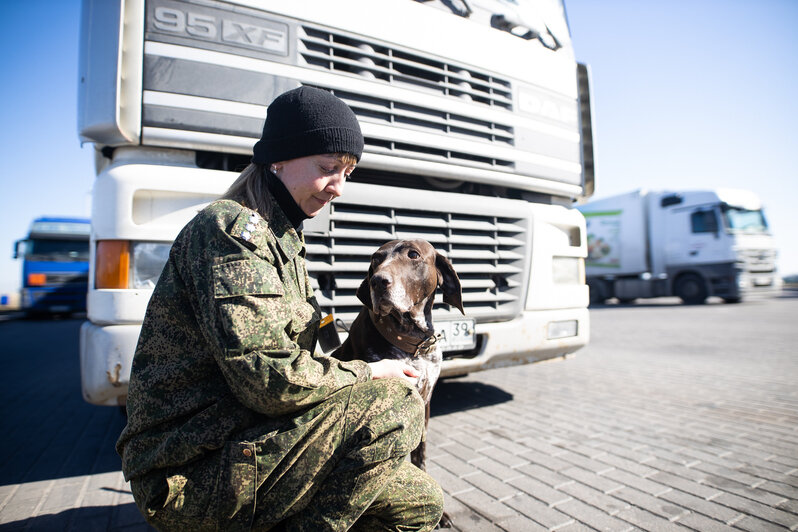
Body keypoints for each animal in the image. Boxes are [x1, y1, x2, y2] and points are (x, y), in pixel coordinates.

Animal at [334, 240, 466, 528]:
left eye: (413, 255)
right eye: (375, 259)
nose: (378, 281)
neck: (412, 341)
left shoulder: (425, 403)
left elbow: (420, 453)